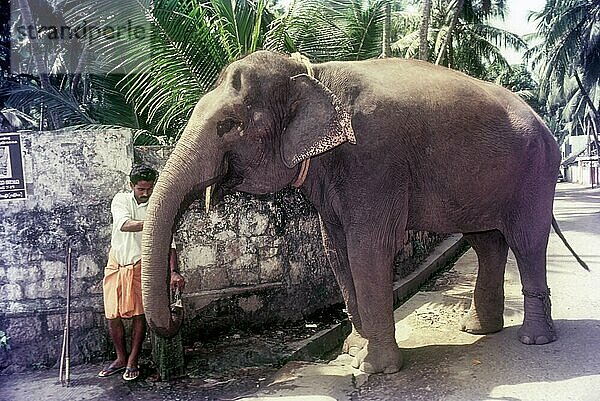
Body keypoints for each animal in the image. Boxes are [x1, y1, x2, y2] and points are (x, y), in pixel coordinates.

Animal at [141, 50, 572, 376]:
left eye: (229, 125)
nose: (176, 313)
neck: (313, 73)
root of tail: (544, 124)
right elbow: (335, 249)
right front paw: (353, 350)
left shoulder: (374, 159)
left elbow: (368, 247)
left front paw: (373, 368)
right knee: (486, 243)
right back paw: (476, 330)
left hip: (537, 170)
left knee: (526, 242)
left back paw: (533, 339)